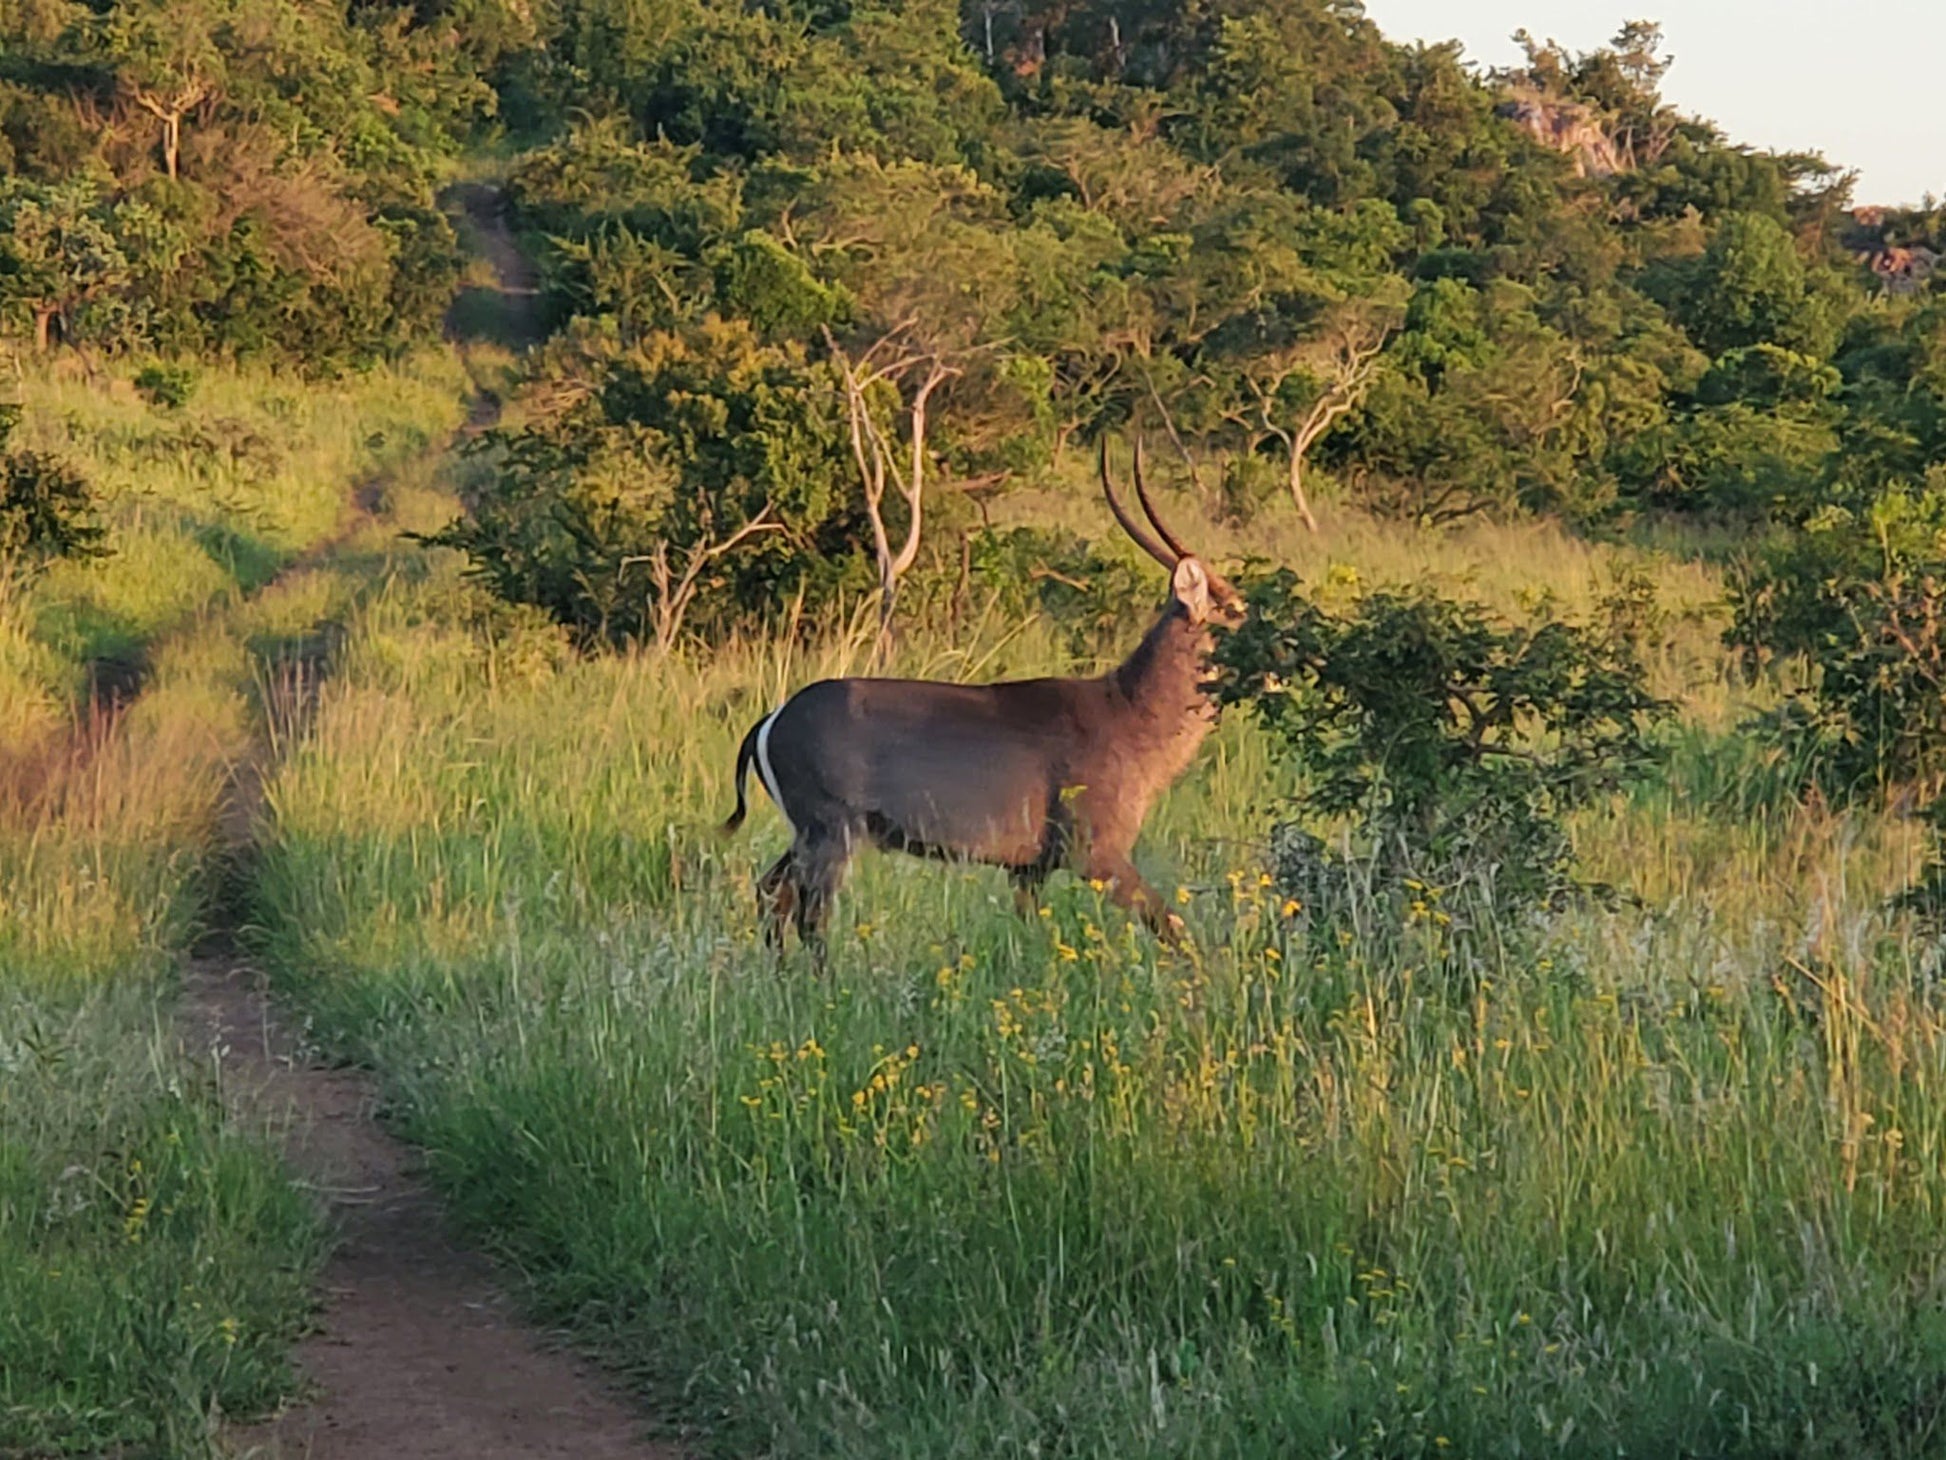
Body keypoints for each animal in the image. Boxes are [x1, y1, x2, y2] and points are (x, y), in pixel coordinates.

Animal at [723, 439, 1237, 953]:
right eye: (1234, 609)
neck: (1127, 710)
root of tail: (774, 717)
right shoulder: (1096, 855)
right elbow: (1172, 926)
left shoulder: (1028, 870)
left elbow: (1030, 932)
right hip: (830, 832)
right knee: (810, 916)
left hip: (810, 835)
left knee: (772, 893)